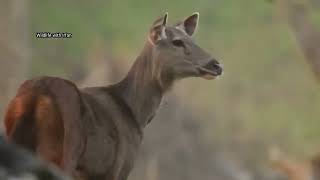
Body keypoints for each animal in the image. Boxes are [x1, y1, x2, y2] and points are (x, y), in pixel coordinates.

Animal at [3, 13, 222, 180]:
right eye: (177, 42)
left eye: (193, 40)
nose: (216, 65)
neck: (136, 115)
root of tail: (35, 98)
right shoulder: (120, 167)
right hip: (65, 151)